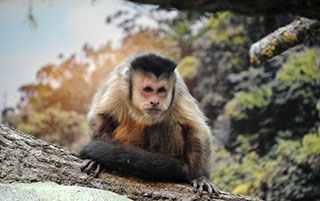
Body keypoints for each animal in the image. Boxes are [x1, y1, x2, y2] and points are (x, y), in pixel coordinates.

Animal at [79, 51, 221, 196]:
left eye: (161, 90)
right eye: (148, 89)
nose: (155, 102)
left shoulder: (178, 90)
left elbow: (197, 128)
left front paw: (200, 176)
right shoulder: (117, 84)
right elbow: (101, 115)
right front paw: (97, 161)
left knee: (167, 124)